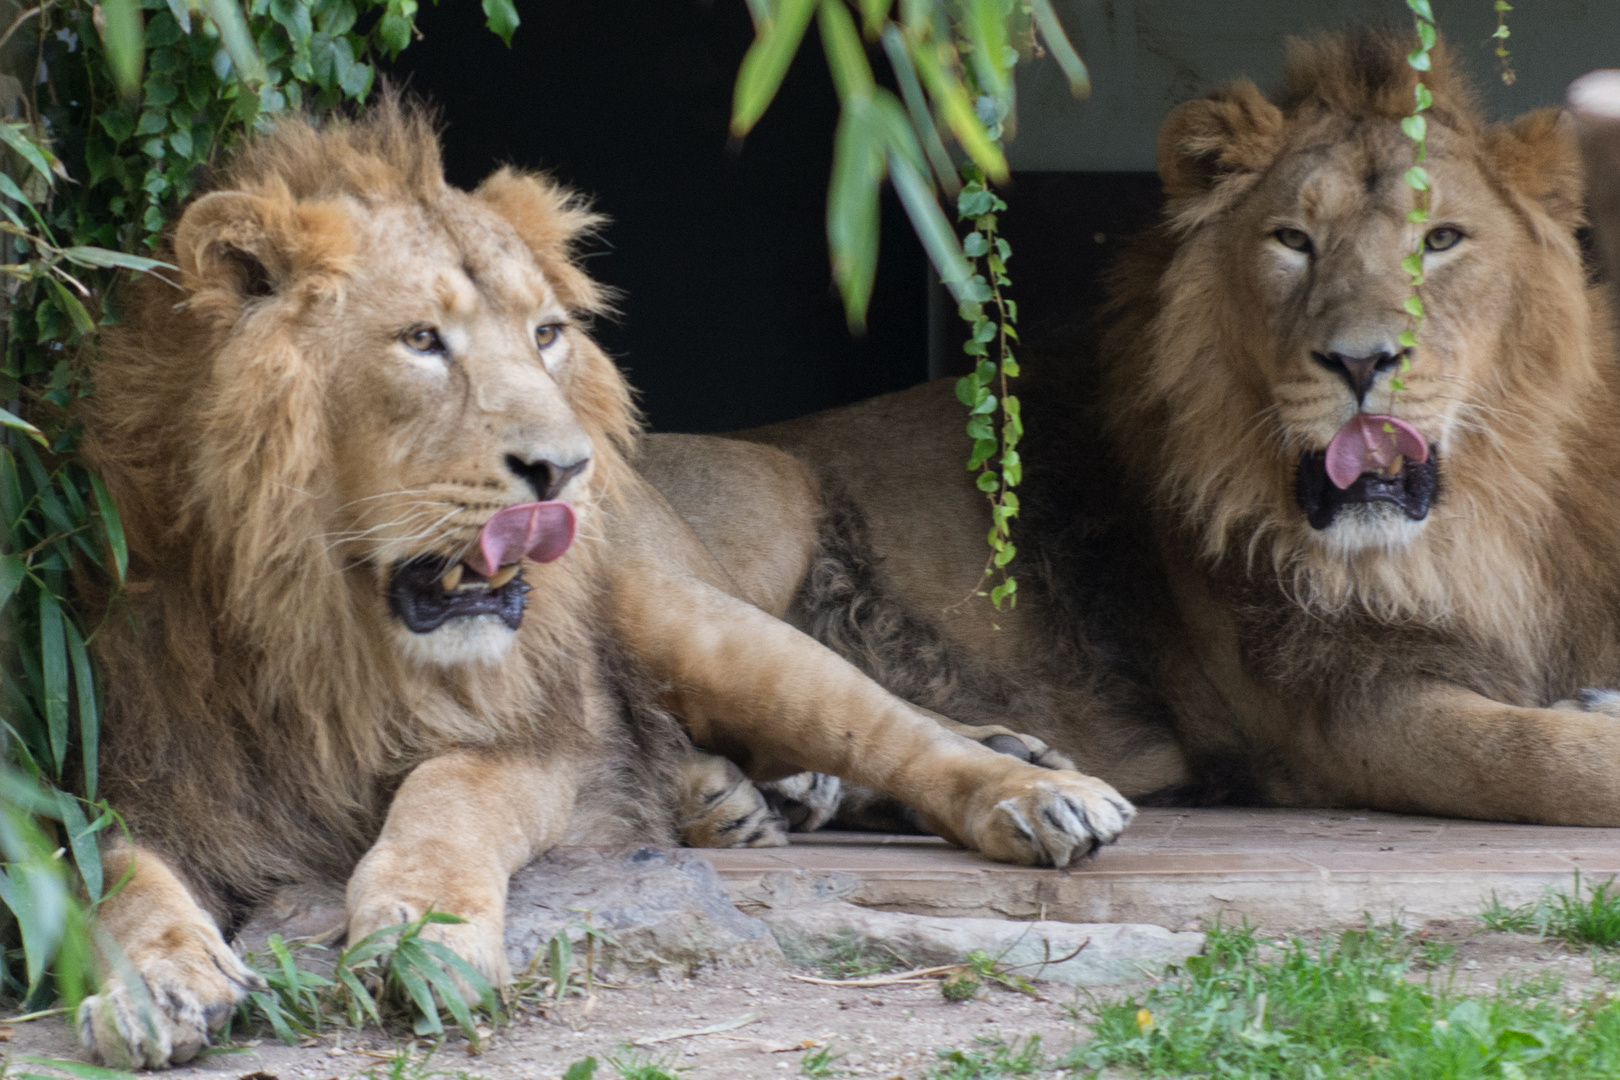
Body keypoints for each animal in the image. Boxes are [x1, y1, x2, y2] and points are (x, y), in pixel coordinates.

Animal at [76, 103, 1134, 1075]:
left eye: (546, 334)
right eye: (421, 340)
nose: (567, 467)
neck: (315, 623)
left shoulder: (535, 735)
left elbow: (442, 798)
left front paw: (425, 938)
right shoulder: (107, 753)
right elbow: (107, 870)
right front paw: (159, 984)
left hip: (688, 617)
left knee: (891, 728)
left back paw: (1037, 789)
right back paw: (730, 796)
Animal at [635, 31, 1620, 829]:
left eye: (1442, 240)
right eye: (1293, 240)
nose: (1361, 361)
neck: (1466, 534)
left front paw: (1590, 703)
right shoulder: (1344, 713)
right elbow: (1539, 760)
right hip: (771, 492)